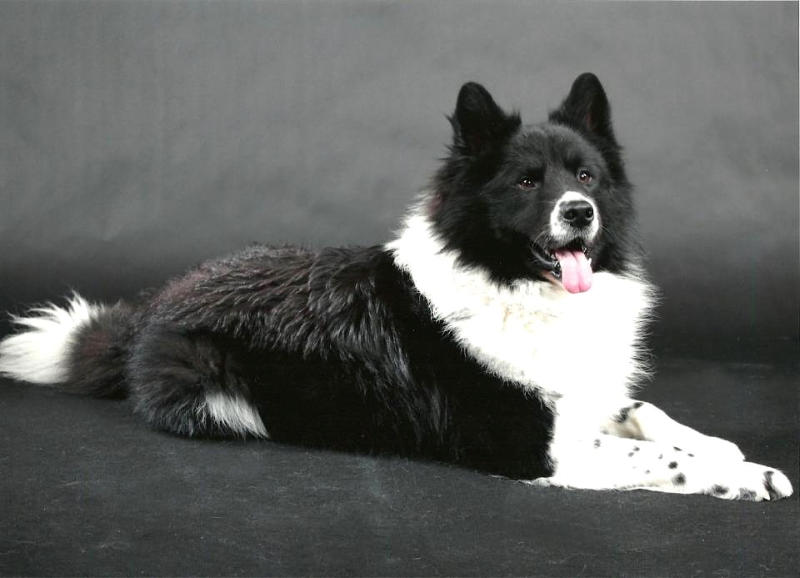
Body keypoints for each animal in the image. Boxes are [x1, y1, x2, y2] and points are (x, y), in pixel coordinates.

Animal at [0, 74, 792, 501]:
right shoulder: (535, 446)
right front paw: (743, 478)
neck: (510, 286)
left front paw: (727, 451)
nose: (579, 212)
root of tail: (158, 302)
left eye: (586, 175)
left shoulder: (584, 396)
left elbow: (648, 414)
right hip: (217, 389)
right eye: (527, 182)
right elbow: (657, 458)